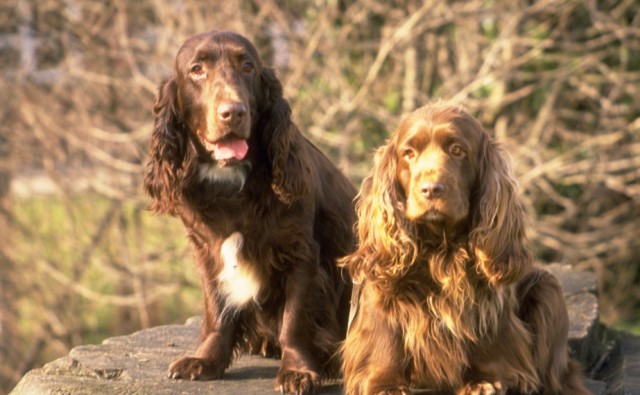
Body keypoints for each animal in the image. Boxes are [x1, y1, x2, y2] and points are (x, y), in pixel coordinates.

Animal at [142, 29, 358, 394]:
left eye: (247, 67)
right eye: (197, 69)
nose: (233, 112)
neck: (232, 182)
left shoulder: (301, 252)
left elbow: (294, 319)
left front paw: (298, 370)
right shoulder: (208, 250)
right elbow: (217, 309)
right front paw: (206, 360)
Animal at [342, 103, 588, 395]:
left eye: (457, 150)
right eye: (408, 153)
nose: (431, 189)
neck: (440, 247)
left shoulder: (488, 299)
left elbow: (488, 337)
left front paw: (483, 380)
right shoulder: (382, 290)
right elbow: (385, 336)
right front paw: (385, 383)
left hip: (547, 287)